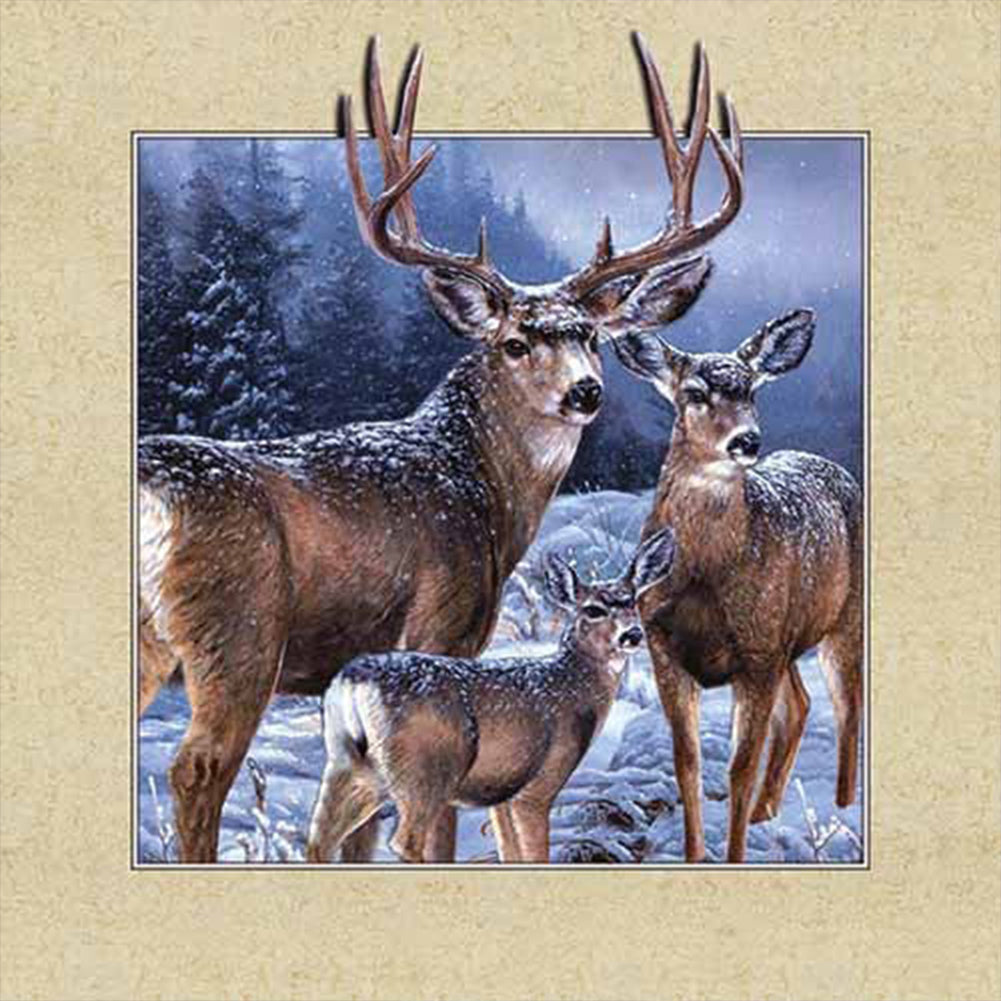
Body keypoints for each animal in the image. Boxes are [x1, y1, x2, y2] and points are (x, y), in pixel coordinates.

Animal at [306, 529, 677, 864]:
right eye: (593, 609)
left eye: (632, 601)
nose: (632, 635)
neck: (571, 686)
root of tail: (353, 681)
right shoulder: (540, 781)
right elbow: (534, 855)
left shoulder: (499, 793)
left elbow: (509, 852)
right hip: (424, 770)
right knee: (403, 840)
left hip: (349, 765)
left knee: (320, 839)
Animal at [611, 309, 863, 863]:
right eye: (694, 392)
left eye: (751, 389)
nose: (746, 441)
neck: (705, 580)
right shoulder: (665, 649)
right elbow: (687, 761)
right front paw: (692, 855)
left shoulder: (756, 656)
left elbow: (738, 769)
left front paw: (734, 855)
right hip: (784, 640)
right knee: (800, 705)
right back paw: (768, 812)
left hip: (841, 621)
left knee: (846, 708)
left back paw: (843, 809)